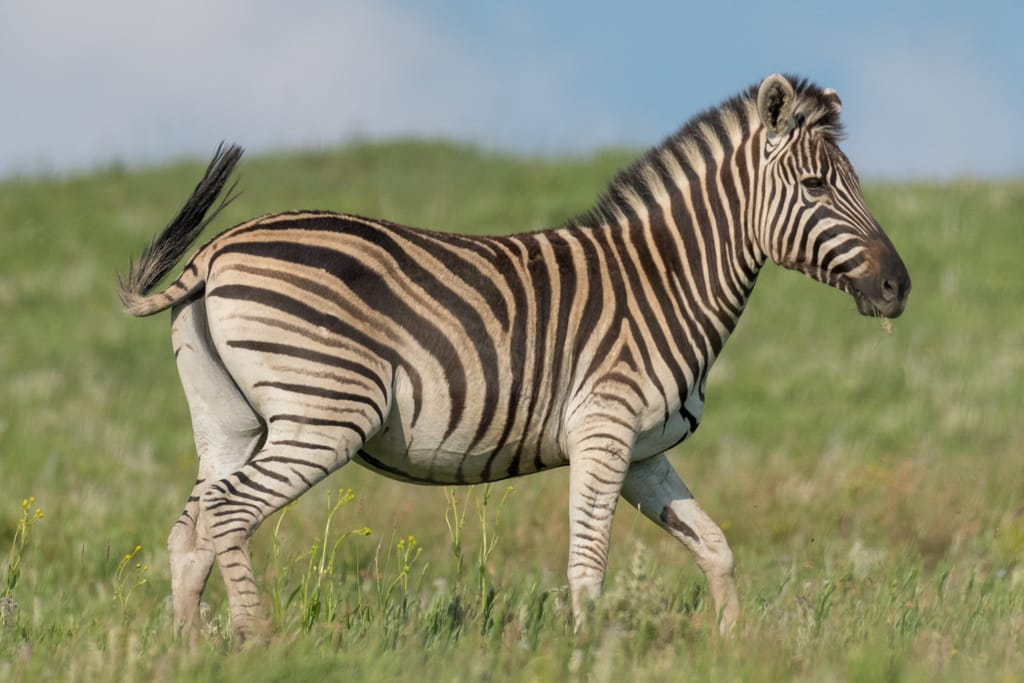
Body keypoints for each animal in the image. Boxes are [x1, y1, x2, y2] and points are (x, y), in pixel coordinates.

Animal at [119, 74, 910, 643]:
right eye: (815, 187)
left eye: (854, 183)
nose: (899, 287)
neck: (668, 279)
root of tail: (217, 250)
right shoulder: (604, 429)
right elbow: (588, 563)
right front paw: (586, 652)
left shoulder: (643, 450)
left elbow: (714, 545)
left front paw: (730, 644)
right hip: (326, 414)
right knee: (228, 510)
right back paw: (254, 635)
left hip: (230, 422)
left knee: (190, 528)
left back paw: (189, 647)